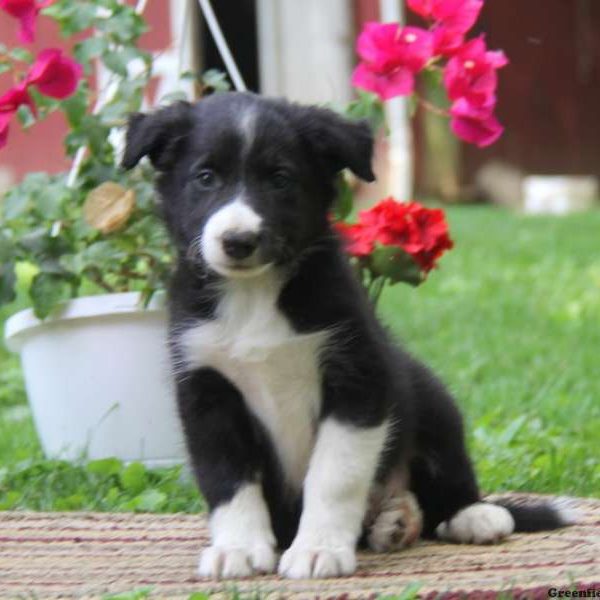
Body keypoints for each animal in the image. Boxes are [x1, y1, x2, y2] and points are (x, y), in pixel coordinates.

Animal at [122, 91, 572, 580]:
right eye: (205, 177)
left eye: (280, 178)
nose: (238, 241)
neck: (254, 295)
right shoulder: (206, 392)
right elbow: (228, 477)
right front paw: (237, 548)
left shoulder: (358, 378)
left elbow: (334, 476)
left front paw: (318, 549)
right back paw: (395, 521)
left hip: (428, 394)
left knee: (446, 481)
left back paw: (467, 515)